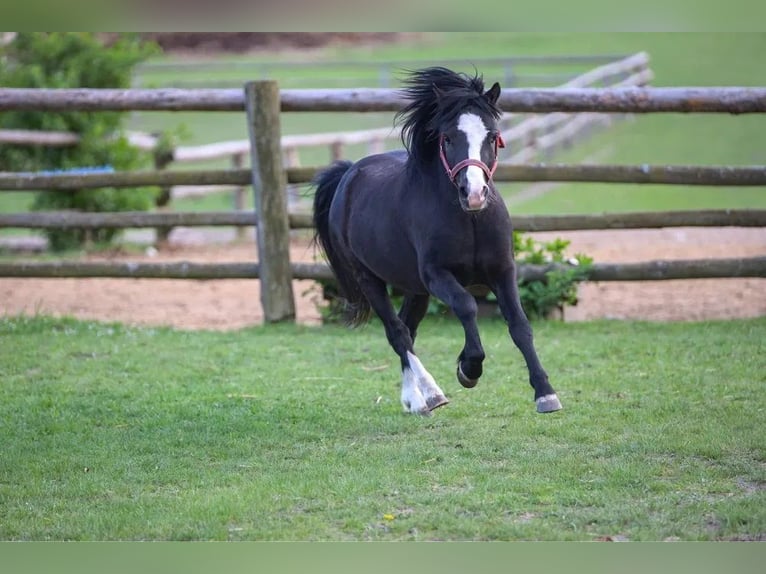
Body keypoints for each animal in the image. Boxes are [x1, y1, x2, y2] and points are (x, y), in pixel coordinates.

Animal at [314, 68, 564, 414]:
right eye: (448, 138)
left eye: (492, 136)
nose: (474, 194)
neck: (470, 220)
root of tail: (348, 174)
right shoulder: (437, 275)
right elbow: (467, 306)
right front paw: (468, 368)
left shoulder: (503, 270)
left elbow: (519, 324)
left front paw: (545, 393)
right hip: (369, 279)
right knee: (397, 333)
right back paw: (429, 396)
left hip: (414, 288)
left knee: (408, 328)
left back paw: (414, 399)